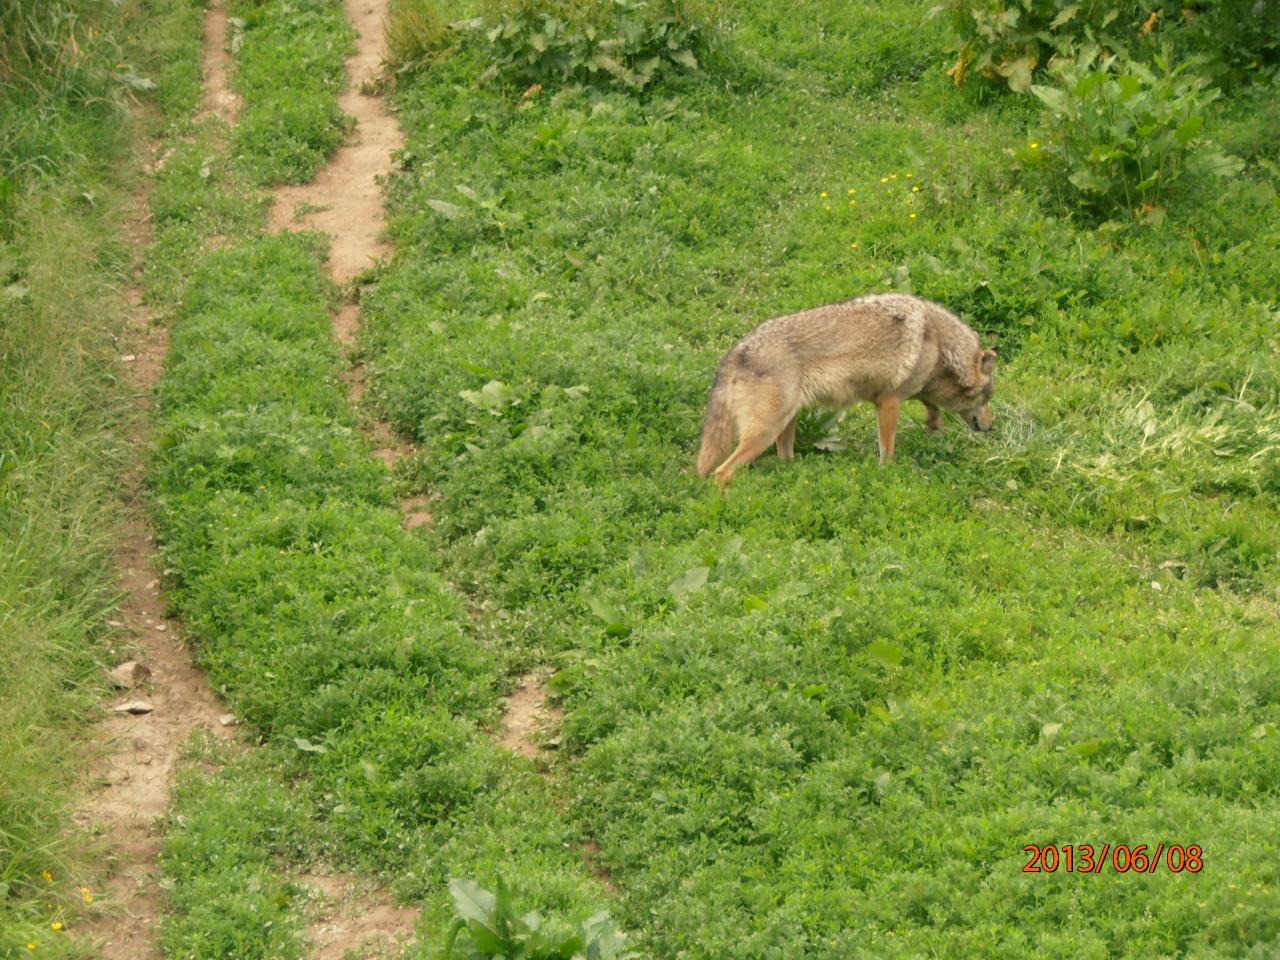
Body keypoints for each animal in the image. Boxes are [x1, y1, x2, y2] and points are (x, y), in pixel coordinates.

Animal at [696, 293, 993, 488]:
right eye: (988, 397)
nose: (990, 428)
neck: (937, 341)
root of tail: (738, 350)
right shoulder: (889, 402)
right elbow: (887, 451)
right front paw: (887, 475)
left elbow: (928, 403)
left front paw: (934, 422)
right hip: (765, 433)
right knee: (721, 473)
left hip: (785, 426)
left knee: (783, 461)